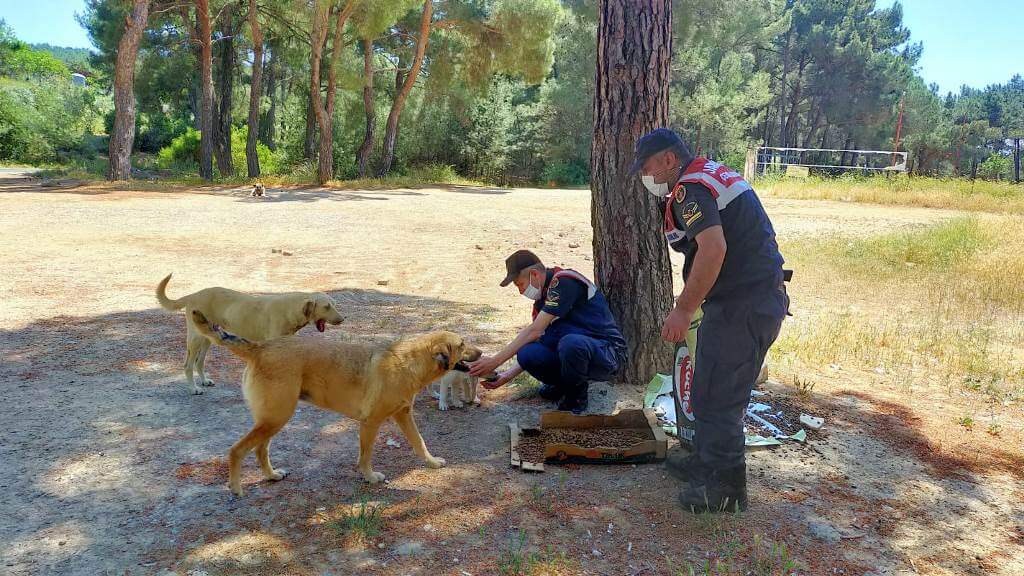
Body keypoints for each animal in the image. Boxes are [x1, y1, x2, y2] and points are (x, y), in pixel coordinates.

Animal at [153, 270, 342, 391]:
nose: (342, 319)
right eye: (326, 307)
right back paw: (194, 388)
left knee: (200, 362)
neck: (292, 309)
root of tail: (194, 294)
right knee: (188, 365)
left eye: (334, 304)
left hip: (207, 337)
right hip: (195, 339)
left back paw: (205, 381)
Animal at [190, 309, 481, 494]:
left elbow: (419, 443)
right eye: (462, 344)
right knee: (237, 450)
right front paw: (370, 478)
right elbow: (366, 456)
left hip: (273, 420)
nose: (482, 352)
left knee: (261, 450)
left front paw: (432, 463)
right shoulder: (370, 424)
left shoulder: (404, 416)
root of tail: (260, 348)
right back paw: (236, 488)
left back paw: (271, 476)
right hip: (275, 418)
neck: (409, 363)